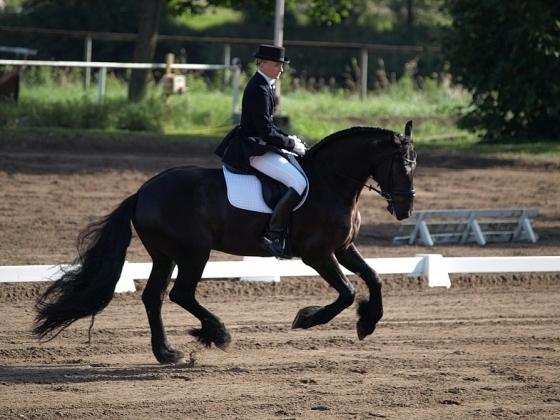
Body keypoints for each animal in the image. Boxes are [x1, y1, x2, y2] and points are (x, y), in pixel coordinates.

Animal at [34, 120, 416, 362]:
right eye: (401, 166)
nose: (405, 210)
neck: (330, 183)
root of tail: (142, 192)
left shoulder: (343, 248)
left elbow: (374, 278)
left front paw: (368, 322)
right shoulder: (318, 254)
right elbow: (348, 292)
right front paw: (306, 319)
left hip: (165, 255)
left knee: (154, 296)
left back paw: (167, 352)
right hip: (194, 253)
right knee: (180, 293)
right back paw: (217, 334)